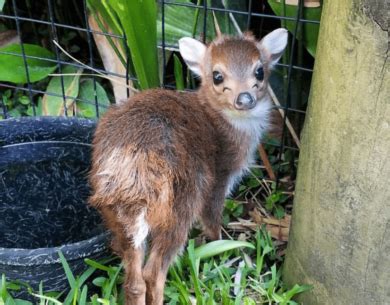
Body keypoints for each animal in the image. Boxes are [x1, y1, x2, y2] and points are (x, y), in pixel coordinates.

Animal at [90, 27, 288, 302]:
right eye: (217, 76)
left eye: (259, 71)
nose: (244, 98)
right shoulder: (219, 177)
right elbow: (212, 218)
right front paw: (220, 246)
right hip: (181, 204)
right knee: (153, 272)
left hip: (118, 219)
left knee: (134, 281)